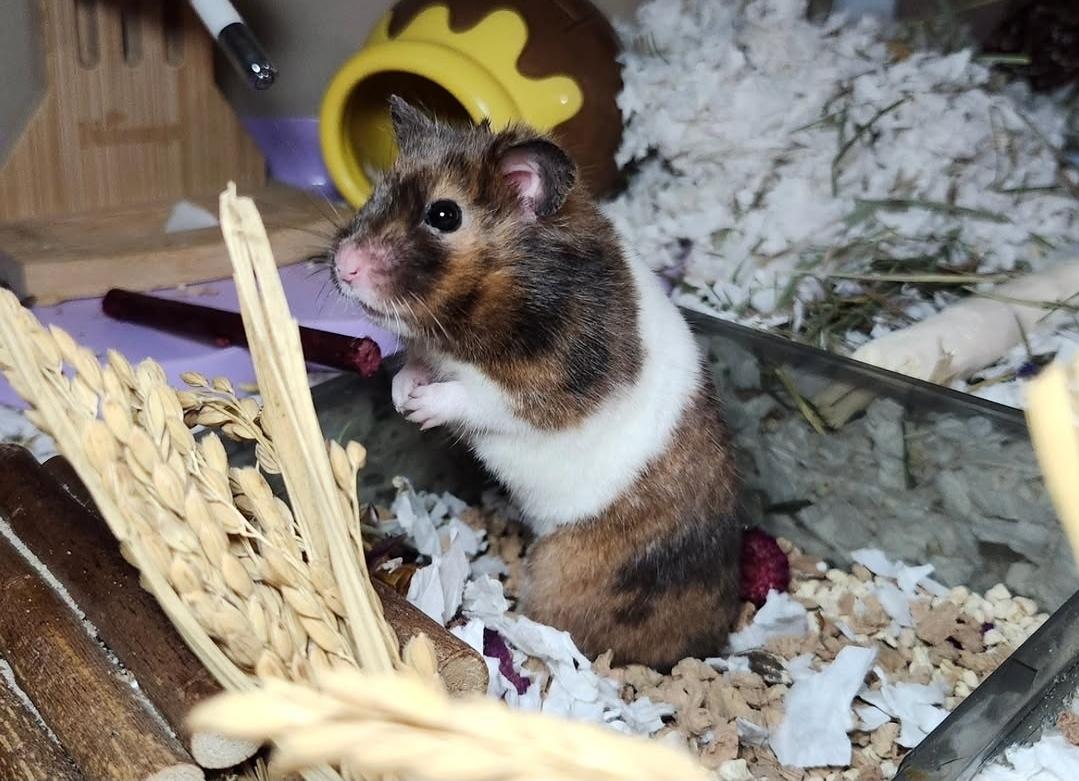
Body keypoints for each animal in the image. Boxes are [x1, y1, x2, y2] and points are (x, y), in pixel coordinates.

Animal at [330, 96, 742, 670]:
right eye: (377, 190)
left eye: (444, 214)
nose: (343, 266)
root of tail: (709, 644)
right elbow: (413, 364)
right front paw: (401, 395)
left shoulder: (549, 387)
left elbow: (478, 396)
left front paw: (422, 407)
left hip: (565, 570)